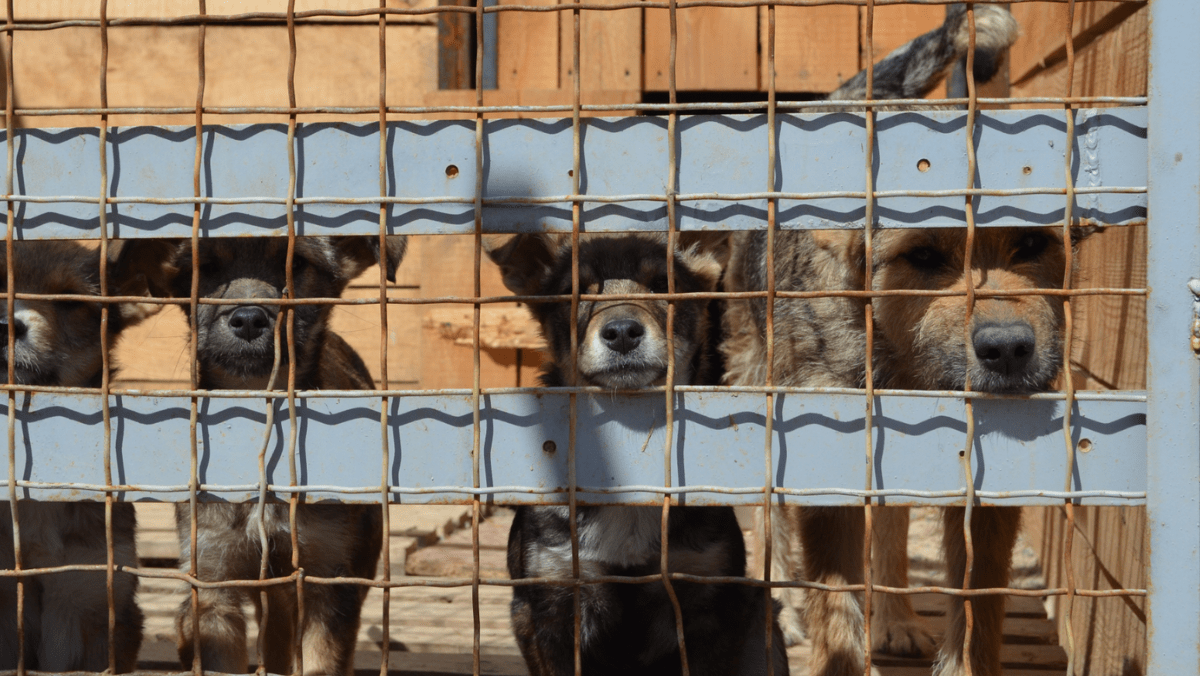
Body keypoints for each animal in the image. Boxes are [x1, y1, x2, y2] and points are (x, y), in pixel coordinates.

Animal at [126, 236, 405, 676]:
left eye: (297, 264)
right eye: (205, 266)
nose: (249, 319)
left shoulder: (327, 579)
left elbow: (320, 662)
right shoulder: (213, 580)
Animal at [720, 223, 1089, 676]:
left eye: (1033, 243)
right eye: (923, 256)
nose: (1006, 350)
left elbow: (979, 598)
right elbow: (836, 602)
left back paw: (896, 618)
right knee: (767, 510)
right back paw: (781, 607)